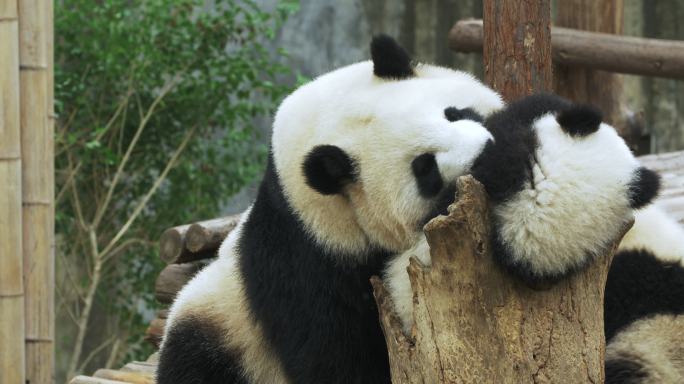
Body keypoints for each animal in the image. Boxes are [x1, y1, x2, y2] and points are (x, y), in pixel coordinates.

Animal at [155, 34, 668, 382]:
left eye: (456, 113)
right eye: (424, 169)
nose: (487, 154)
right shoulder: (310, 259)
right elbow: (336, 353)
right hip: (219, 331)